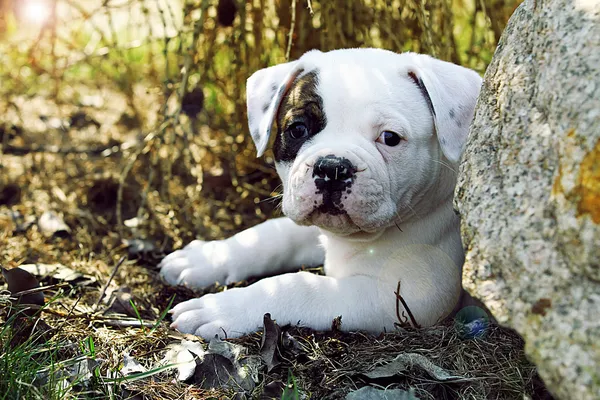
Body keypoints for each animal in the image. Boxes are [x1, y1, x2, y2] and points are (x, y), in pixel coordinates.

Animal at [157, 48, 480, 340]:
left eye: (390, 138)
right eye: (298, 129)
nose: (332, 168)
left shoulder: (408, 296)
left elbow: (299, 285)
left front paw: (221, 308)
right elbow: (272, 235)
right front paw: (206, 258)